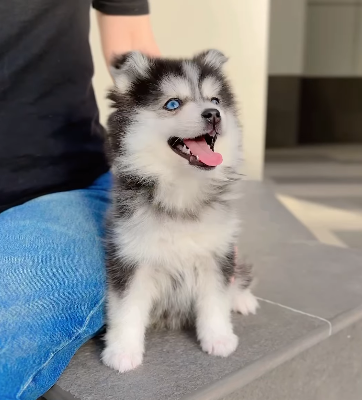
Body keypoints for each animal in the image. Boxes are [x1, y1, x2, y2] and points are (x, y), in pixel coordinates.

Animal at [102, 49, 258, 372]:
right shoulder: (130, 256)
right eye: (173, 103)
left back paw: (242, 299)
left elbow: (215, 301)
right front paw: (122, 351)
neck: (182, 191)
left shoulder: (217, 253)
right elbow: (126, 308)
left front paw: (219, 338)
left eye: (215, 100)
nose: (213, 114)